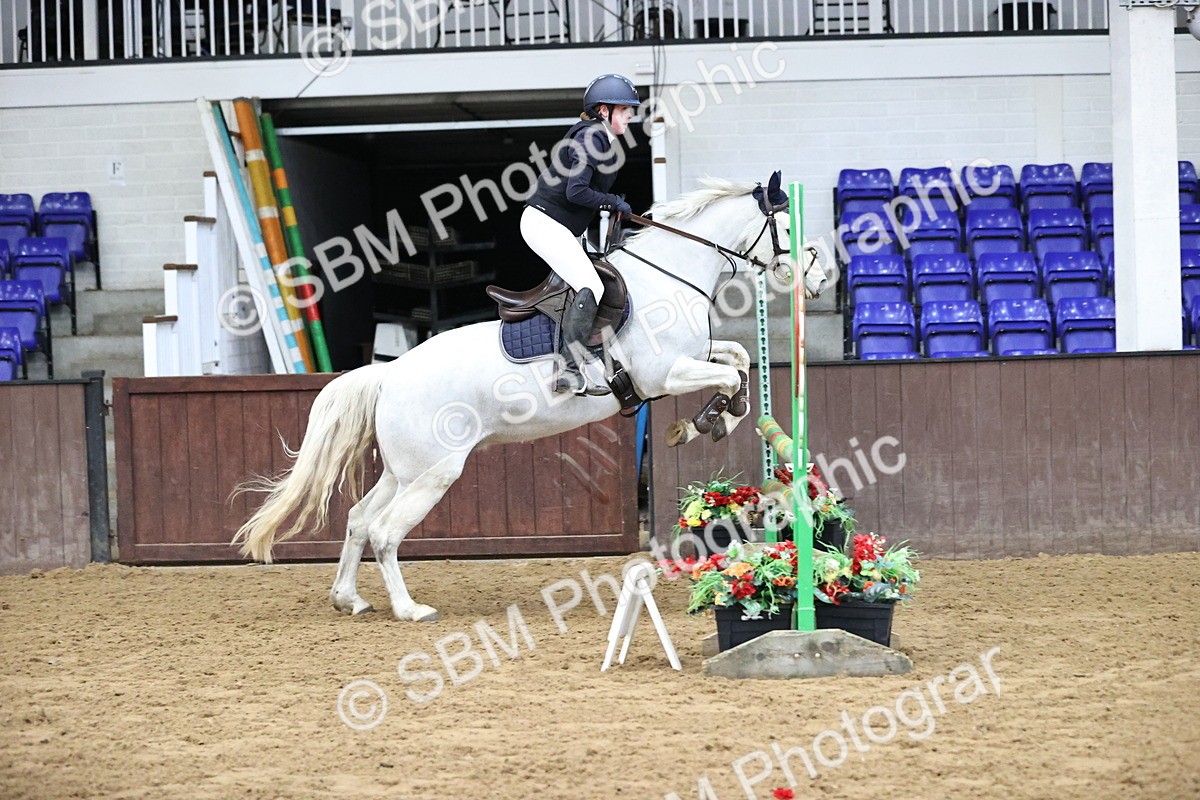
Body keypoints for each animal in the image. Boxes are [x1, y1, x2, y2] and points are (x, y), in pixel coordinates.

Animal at [232, 174, 834, 621]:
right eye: (788, 224)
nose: (821, 279)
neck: (671, 276)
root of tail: (390, 374)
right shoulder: (665, 373)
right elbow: (729, 377)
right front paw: (707, 422)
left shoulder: (694, 359)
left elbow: (738, 359)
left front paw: (713, 421)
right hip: (434, 473)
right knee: (383, 532)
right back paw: (409, 609)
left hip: (404, 471)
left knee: (359, 519)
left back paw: (348, 598)